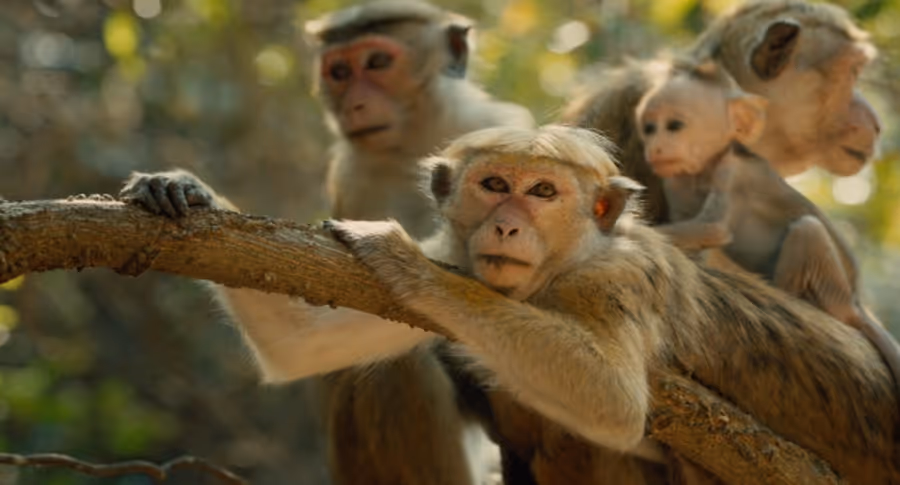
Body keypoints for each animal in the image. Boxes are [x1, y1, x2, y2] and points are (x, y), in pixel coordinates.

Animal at [120, 2, 534, 485]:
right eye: (339, 72)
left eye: (377, 63)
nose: (355, 103)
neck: (416, 146)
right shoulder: (354, 176)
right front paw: (184, 186)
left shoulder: (499, 127)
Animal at [325, 124, 900, 484]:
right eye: (494, 184)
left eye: (542, 192)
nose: (507, 225)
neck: (566, 264)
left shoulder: (614, 281)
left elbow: (613, 400)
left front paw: (408, 265)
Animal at [634, 58, 900, 398]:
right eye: (649, 129)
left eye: (674, 126)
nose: (654, 148)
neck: (703, 171)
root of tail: (855, 302)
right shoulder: (675, 181)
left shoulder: (731, 172)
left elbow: (713, 228)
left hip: (834, 291)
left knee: (807, 228)